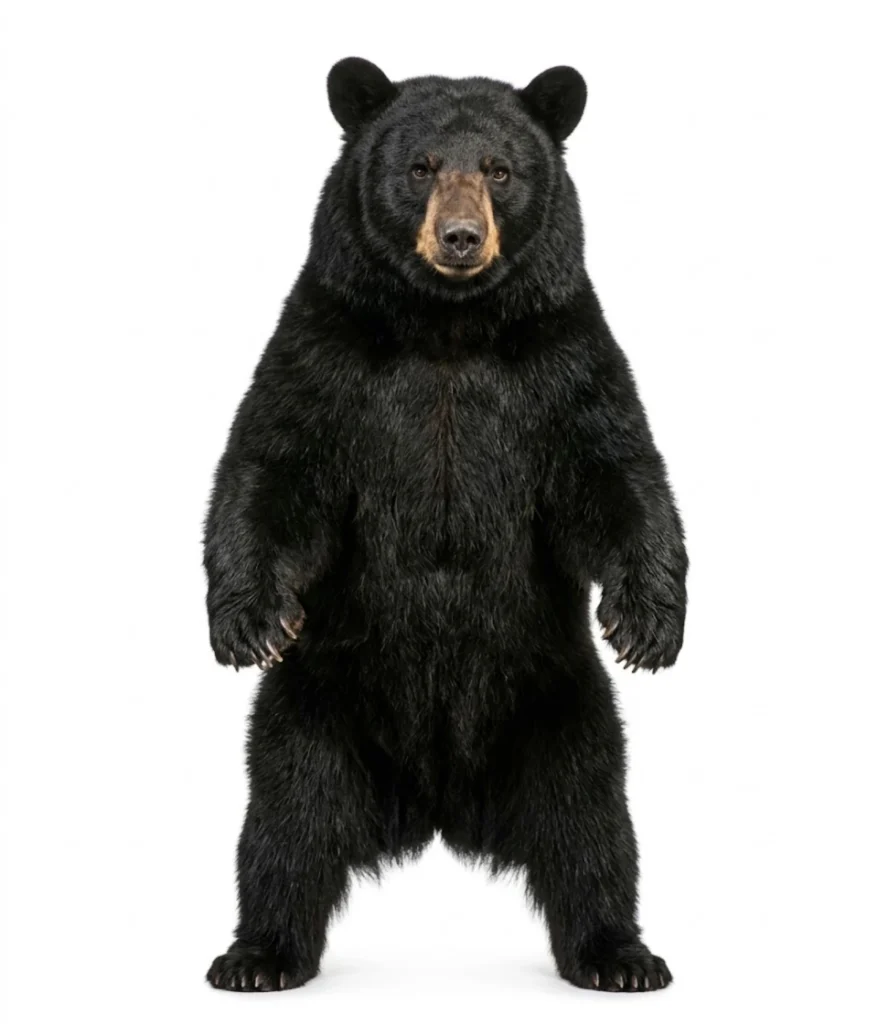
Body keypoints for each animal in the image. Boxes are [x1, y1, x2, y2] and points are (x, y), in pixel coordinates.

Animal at [203, 57, 688, 994]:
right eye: (421, 166)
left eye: (499, 169)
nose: (462, 237)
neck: (448, 327)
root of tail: (437, 804)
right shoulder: (325, 352)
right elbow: (272, 466)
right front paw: (247, 620)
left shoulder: (564, 358)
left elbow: (615, 471)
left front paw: (648, 622)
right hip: (314, 709)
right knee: (286, 824)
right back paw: (258, 954)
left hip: (562, 708)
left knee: (593, 828)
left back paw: (619, 954)